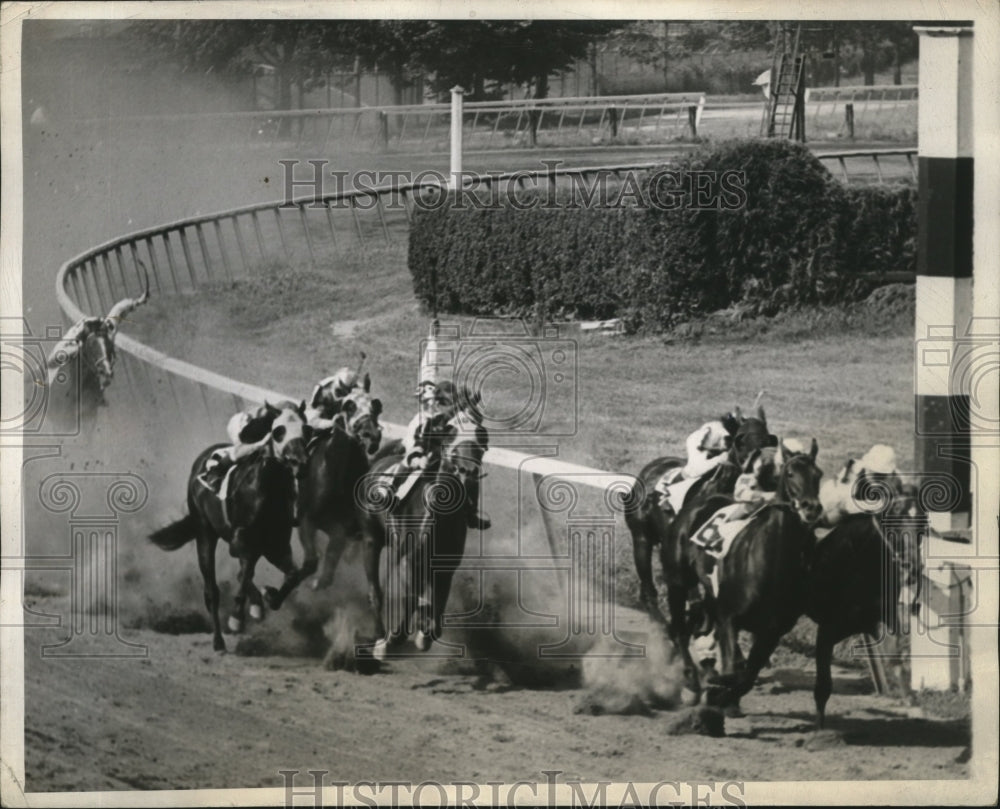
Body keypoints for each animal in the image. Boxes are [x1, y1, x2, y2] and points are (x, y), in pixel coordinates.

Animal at [149, 404, 308, 652]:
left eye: (306, 429)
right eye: (278, 431)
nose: (299, 461)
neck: (267, 491)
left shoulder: (276, 546)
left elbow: (292, 575)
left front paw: (270, 597)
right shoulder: (242, 541)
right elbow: (245, 574)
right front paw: (236, 617)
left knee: (243, 572)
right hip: (205, 533)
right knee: (212, 590)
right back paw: (218, 640)